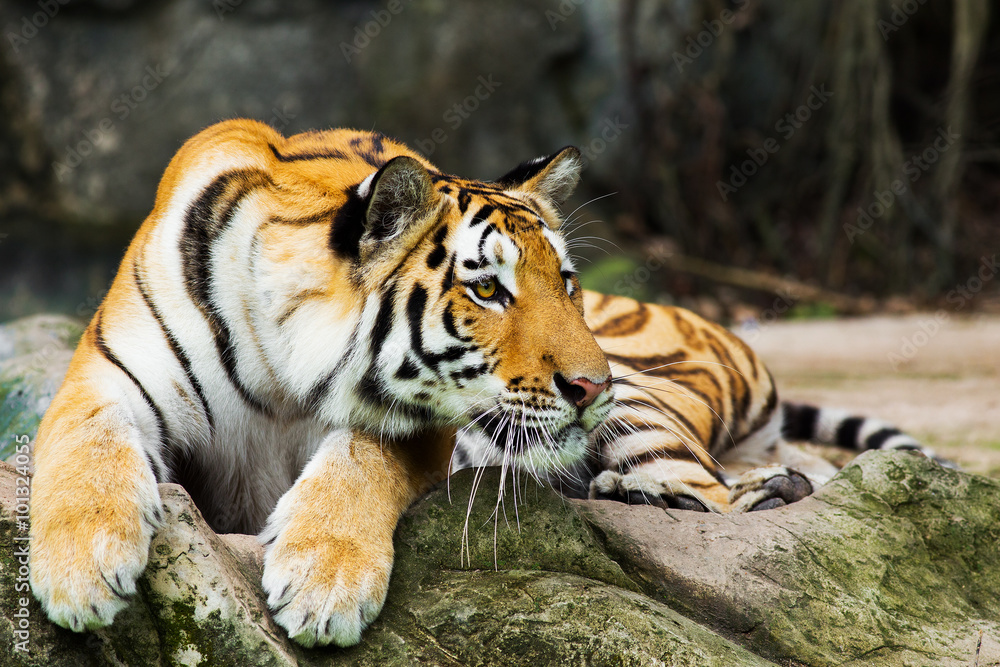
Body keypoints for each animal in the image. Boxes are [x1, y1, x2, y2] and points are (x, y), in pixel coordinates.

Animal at [28, 119, 931, 649]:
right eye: (489, 288)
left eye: (565, 281)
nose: (589, 381)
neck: (285, 363)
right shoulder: (105, 377)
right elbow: (83, 452)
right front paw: (80, 574)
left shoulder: (411, 427)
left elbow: (358, 465)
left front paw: (322, 584)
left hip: (646, 403)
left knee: (720, 497)